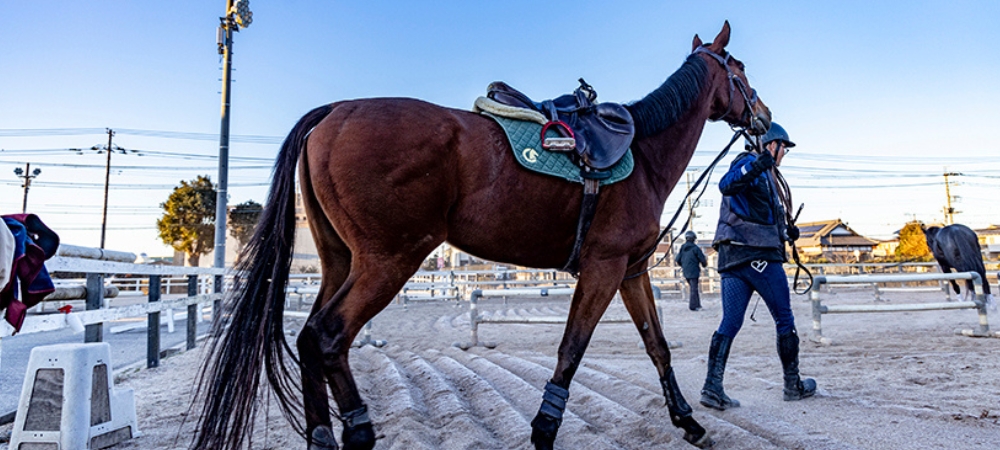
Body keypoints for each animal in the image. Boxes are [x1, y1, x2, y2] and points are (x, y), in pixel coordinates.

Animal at [193, 22, 772, 450]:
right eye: (741, 71)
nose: (763, 118)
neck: (642, 154)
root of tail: (337, 110)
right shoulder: (603, 268)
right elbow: (571, 349)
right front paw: (544, 428)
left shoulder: (629, 271)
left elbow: (658, 346)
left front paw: (688, 421)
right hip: (388, 261)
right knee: (328, 336)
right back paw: (358, 430)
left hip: (341, 261)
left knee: (309, 339)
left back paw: (324, 436)